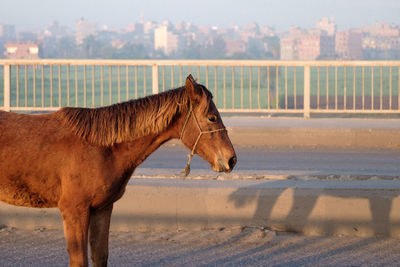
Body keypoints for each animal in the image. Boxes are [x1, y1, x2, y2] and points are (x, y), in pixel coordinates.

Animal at [0, 75, 238, 267]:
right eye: (211, 117)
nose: (231, 159)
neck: (101, 147)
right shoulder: (74, 211)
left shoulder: (102, 209)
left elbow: (100, 256)